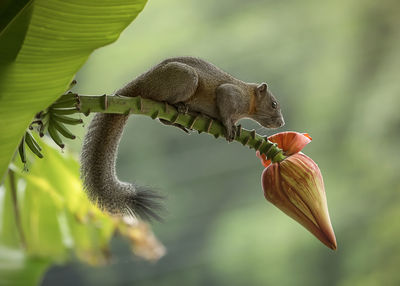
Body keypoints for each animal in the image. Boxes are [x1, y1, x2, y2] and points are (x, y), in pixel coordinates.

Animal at [79, 56, 282, 221]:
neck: (248, 97)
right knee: (162, 107)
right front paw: (229, 126)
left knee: (162, 118)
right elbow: (224, 108)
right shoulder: (229, 93)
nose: (281, 122)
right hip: (185, 79)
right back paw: (181, 107)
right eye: (273, 104)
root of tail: (140, 83)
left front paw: (237, 126)